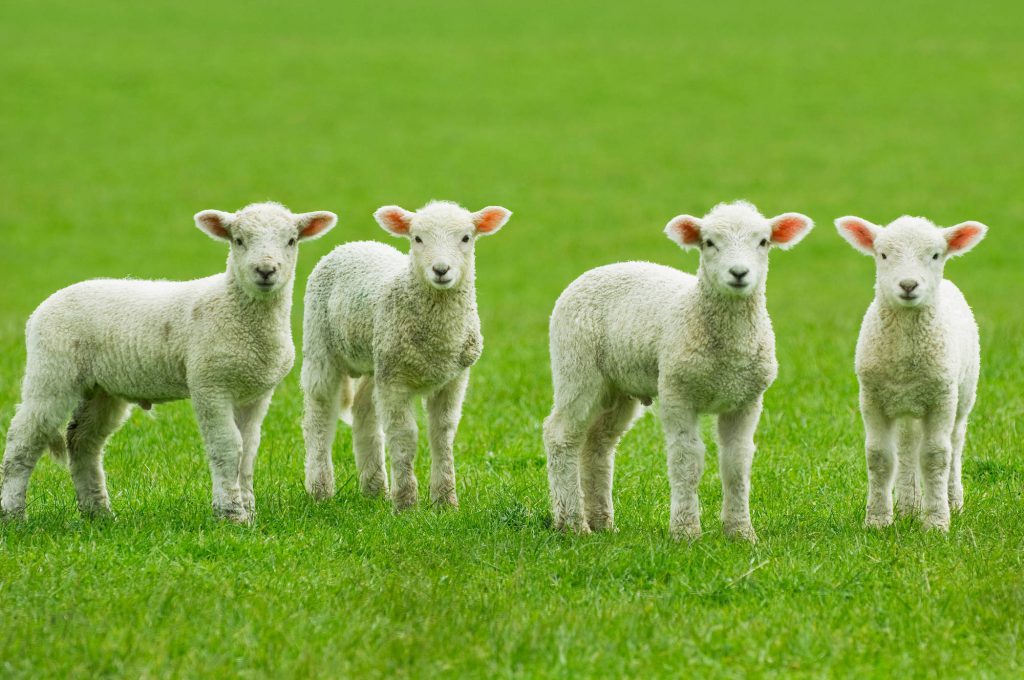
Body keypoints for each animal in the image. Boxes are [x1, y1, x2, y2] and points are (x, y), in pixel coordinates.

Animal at [0, 202, 337, 522]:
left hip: (101, 388)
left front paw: (248, 511)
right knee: (23, 438)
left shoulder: (256, 393)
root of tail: (43, 306)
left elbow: (248, 451)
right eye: (238, 240)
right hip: (52, 371)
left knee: (82, 442)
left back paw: (99, 514)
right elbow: (228, 447)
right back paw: (13, 515)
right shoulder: (209, 384)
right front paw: (231, 515)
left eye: (291, 240)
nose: (265, 270)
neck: (234, 308)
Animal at [301, 200, 511, 510]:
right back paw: (320, 490)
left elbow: (443, 434)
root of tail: (353, 244)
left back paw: (374, 489)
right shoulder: (396, 382)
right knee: (319, 416)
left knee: (364, 412)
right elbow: (404, 436)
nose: (441, 269)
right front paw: (406, 503)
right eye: (417, 238)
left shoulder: (454, 378)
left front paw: (445, 502)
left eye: (466, 238)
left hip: (377, 360)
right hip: (321, 345)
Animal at [544, 201, 813, 542]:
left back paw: (602, 522)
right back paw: (573, 524)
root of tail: (597, 269)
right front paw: (686, 531)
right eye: (709, 242)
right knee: (561, 436)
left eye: (763, 242)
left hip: (618, 388)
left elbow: (737, 462)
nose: (739, 273)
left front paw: (740, 533)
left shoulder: (746, 401)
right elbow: (687, 459)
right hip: (577, 367)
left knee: (598, 444)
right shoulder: (677, 393)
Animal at [835, 215, 986, 531]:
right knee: (906, 450)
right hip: (906, 405)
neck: (904, 356)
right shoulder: (872, 398)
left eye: (935, 255)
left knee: (955, 444)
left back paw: (953, 501)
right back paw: (908, 507)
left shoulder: (941, 399)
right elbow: (879, 457)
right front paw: (878, 520)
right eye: (883, 255)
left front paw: (937, 522)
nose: (908, 284)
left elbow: (935, 457)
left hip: (963, 396)